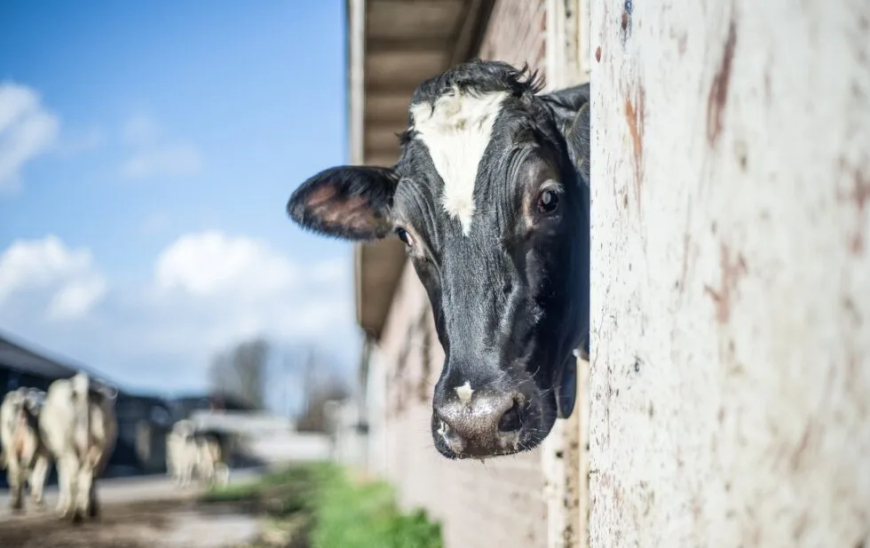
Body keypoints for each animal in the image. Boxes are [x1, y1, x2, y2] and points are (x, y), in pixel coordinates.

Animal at [39, 372, 118, 524]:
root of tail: (83, 383)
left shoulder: (61, 454)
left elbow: (63, 478)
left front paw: (63, 509)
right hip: (101, 445)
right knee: (90, 474)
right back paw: (88, 510)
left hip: (68, 444)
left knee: (75, 475)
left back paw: (75, 514)